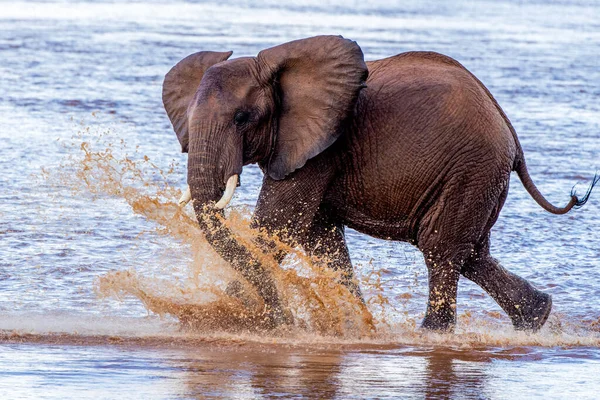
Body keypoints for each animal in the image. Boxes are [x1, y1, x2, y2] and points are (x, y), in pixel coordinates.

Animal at [159, 36, 596, 332]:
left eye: (242, 119)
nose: (287, 316)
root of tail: (509, 131)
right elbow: (320, 239)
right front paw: (352, 324)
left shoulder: (322, 147)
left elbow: (278, 223)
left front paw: (233, 316)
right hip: (479, 179)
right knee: (471, 254)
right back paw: (536, 317)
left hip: (471, 171)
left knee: (441, 249)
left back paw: (431, 335)